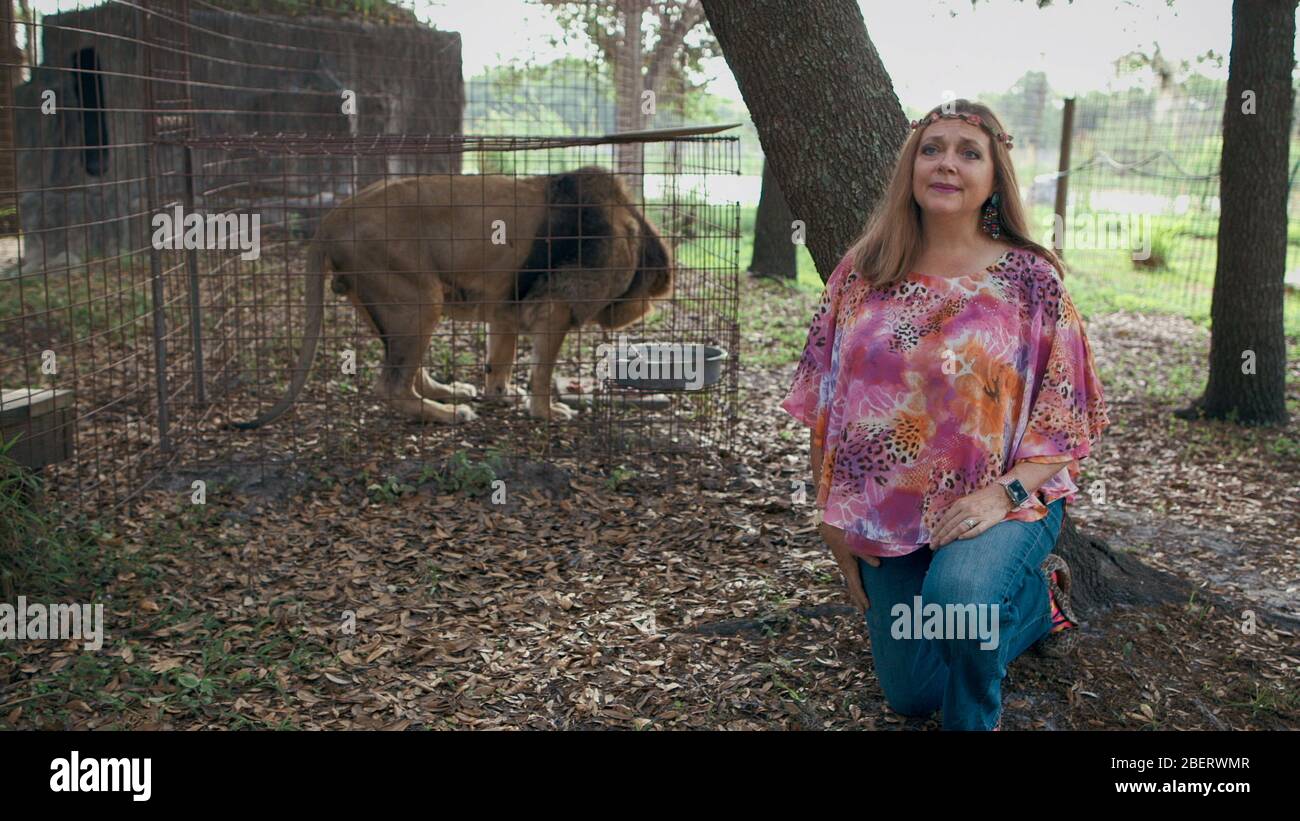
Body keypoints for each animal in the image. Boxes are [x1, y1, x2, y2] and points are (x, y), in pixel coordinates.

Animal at [233, 163, 676, 426]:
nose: (643, 310)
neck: (632, 235)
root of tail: (334, 215)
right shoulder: (556, 309)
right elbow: (541, 371)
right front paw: (546, 411)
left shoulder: (505, 307)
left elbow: (500, 360)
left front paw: (501, 394)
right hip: (420, 298)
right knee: (392, 385)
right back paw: (448, 413)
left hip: (390, 303)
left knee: (408, 371)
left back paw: (448, 392)